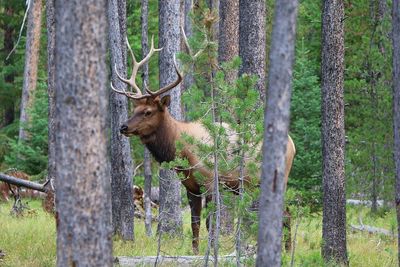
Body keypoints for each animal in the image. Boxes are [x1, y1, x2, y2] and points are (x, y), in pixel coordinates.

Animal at [111, 37, 296, 255]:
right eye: (134, 109)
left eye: (148, 111)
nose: (123, 126)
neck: (182, 152)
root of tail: (292, 143)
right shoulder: (191, 187)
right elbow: (195, 223)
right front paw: (195, 251)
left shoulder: (209, 181)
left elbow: (210, 222)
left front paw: (212, 250)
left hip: (280, 177)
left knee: (287, 213)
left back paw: (287, 250)